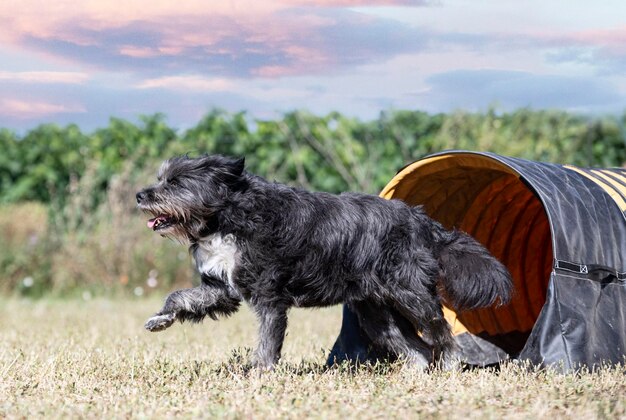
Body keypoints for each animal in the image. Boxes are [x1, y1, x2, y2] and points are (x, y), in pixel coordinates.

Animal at [134, 153, 510, 368]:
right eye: (161, 179)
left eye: (175, 182)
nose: (140, 195)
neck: (228, 215)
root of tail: (422, 221)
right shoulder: (221, 288)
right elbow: (180, 296)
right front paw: (160, 319)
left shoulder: (269, 297)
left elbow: (267, 342)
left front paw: (260, 374)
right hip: (377, 314)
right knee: (416, 349)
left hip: (412, 296)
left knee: (441, 336)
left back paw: (449, 368)